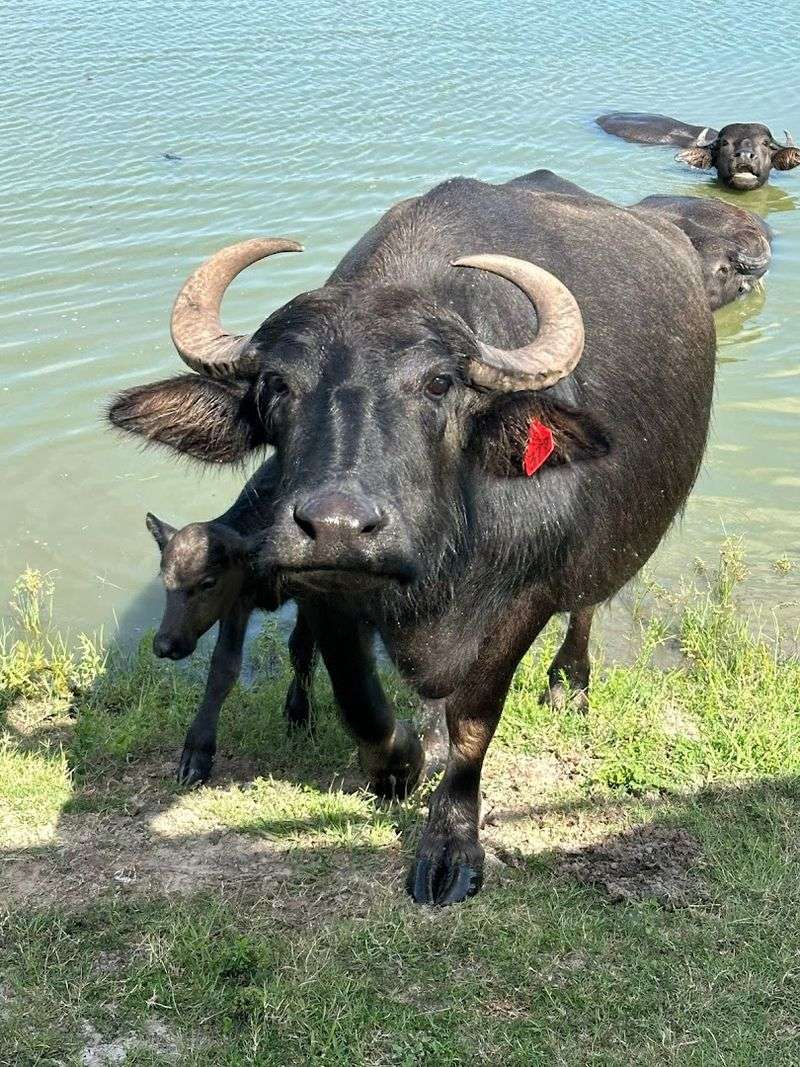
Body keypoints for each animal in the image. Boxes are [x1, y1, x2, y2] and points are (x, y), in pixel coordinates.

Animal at [109, 171, 715, 904]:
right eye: (276, 385)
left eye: (439, 382)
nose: (337, 527)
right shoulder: (323, 589)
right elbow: (359, 701)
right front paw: (400, 762)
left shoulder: (525, 597)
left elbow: (475, 719)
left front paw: (450, 846)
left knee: (587, 606)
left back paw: (568, 683)